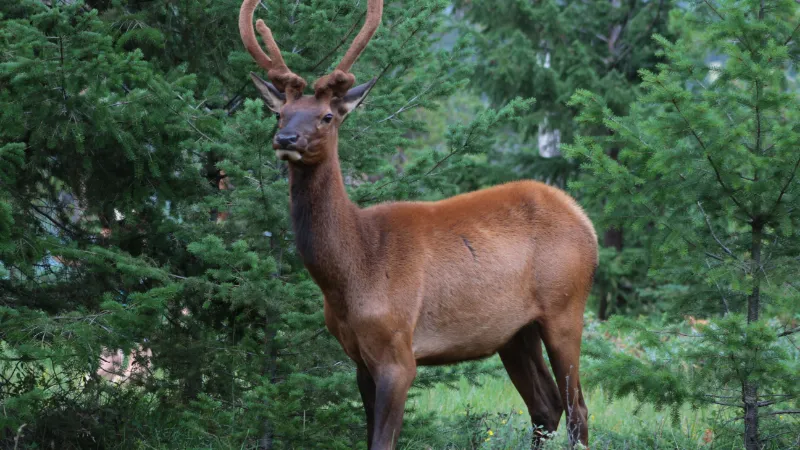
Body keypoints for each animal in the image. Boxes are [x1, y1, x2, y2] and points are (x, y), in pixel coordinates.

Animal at [238, 0, 598, 448]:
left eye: (326, 116)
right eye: (280, 113)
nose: (286, 139)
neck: (353, 270)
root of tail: (586, 222)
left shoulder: (398, 351)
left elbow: (383, 441)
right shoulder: (358, 356)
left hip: (566, 306)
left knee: (577, 410)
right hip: (514, 331)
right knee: (545, 407)